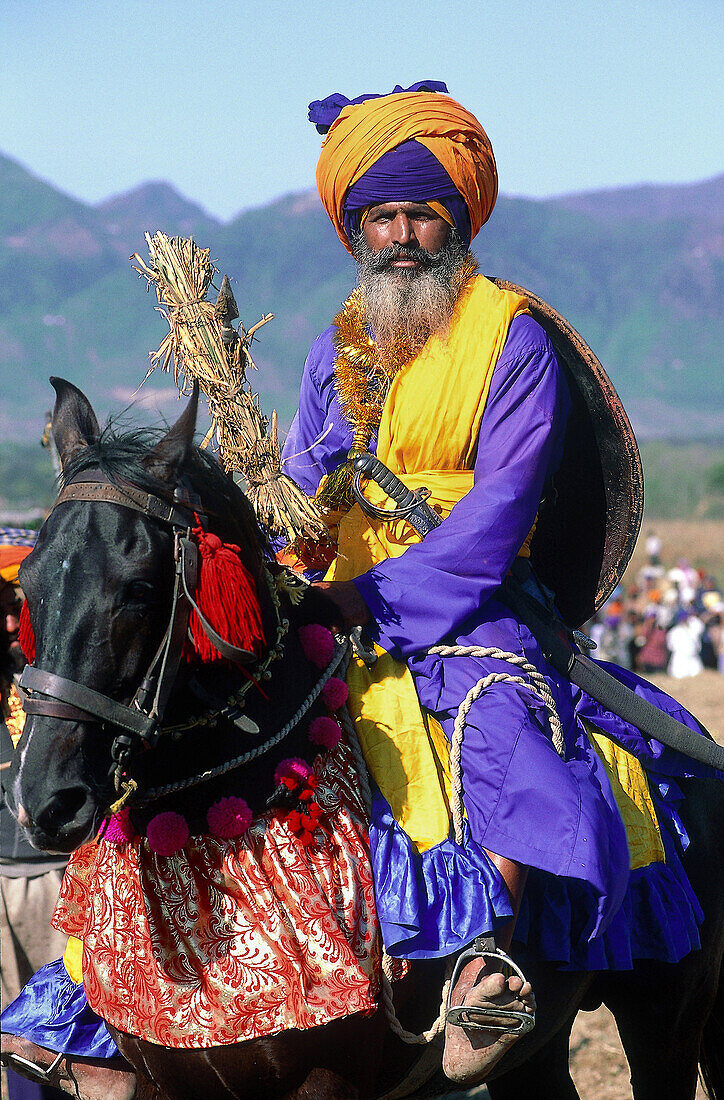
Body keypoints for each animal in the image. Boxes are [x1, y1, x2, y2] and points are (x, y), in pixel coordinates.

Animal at [5, 380, 721, 1100]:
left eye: (137, 589)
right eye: (31, 582)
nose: (47, 801)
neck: (217, 820)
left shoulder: (326, 1081)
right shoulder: (162, 1081)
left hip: (667, 1018)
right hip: (538, 1050)